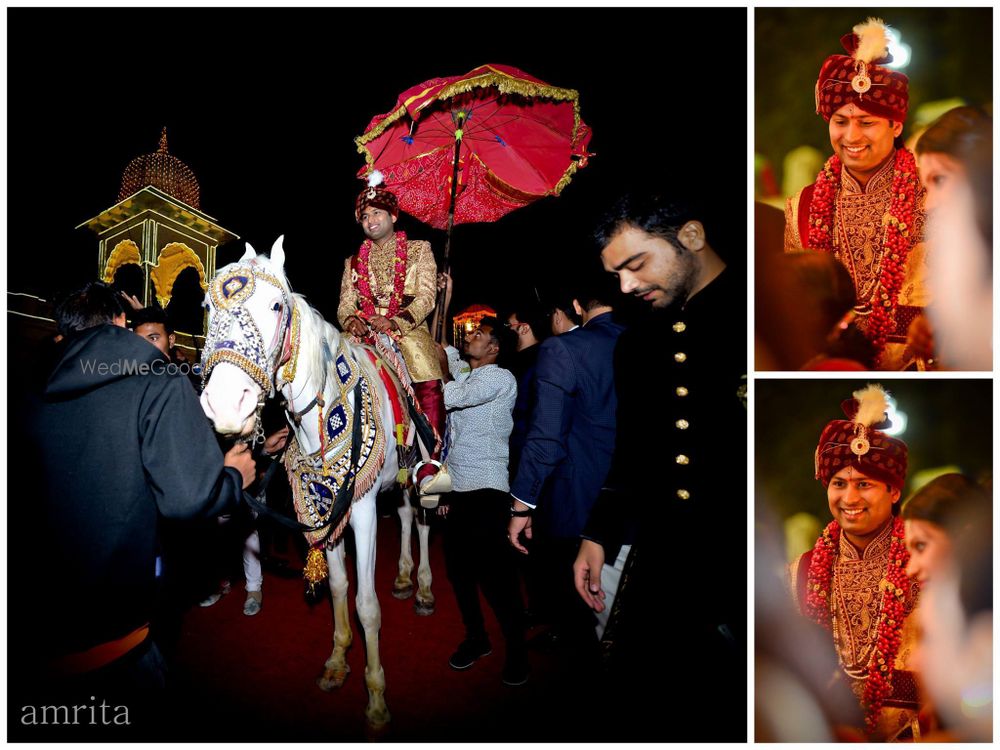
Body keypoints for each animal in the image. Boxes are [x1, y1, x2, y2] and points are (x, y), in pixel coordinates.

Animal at [202, 236, 434, 728]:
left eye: (276, 306)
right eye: (208, 307)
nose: (227, 404)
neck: (325, 414)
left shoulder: (362, 511)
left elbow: (367, 606)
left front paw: (376, 697)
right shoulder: (325, 508)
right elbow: (340, 588)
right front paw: (337, 662)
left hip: (425, 467)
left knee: (424, 520)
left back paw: (423, 589)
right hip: (398, 479)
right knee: (406, 516)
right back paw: (404, 578)